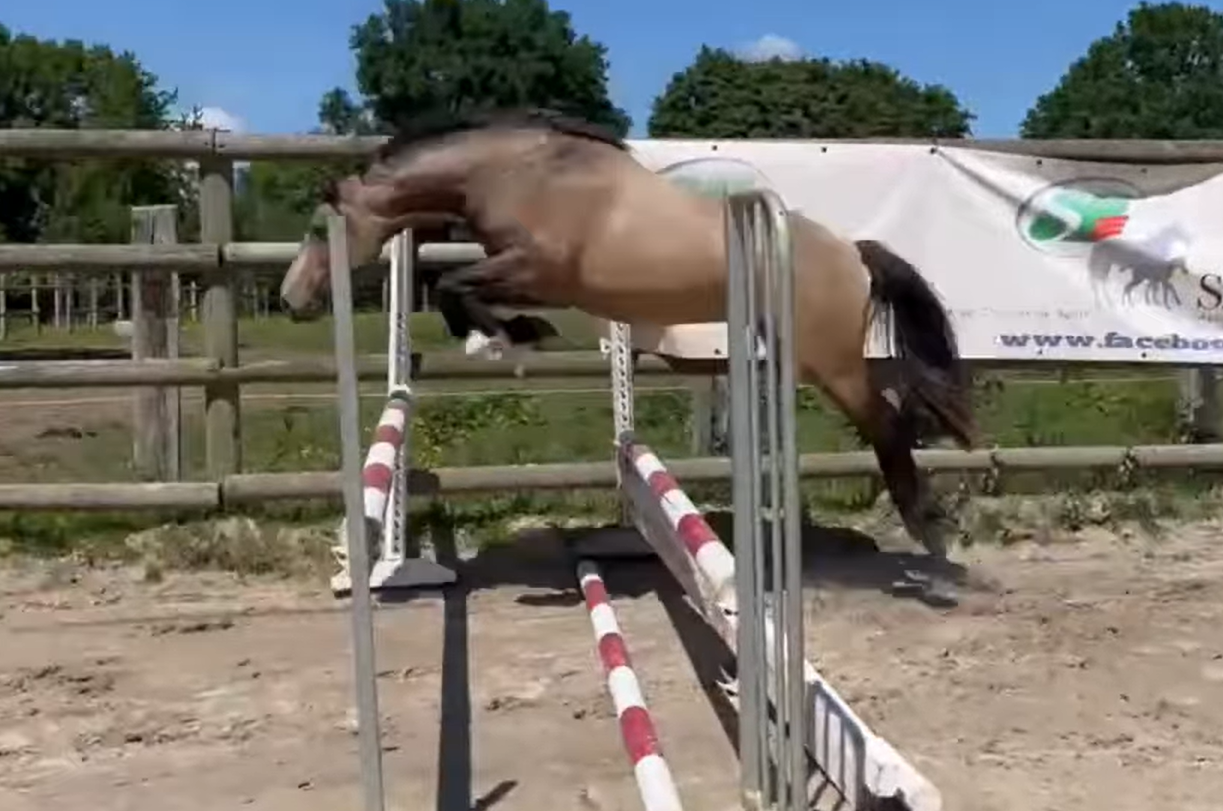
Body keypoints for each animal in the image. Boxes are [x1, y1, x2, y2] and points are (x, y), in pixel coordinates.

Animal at [279, 108, 977, 565]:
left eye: (317, 229)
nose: (291, 300)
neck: (519, 172)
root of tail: (852, 252)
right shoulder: (535, 278)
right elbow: (463, 290)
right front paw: (517, 335)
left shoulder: (537, 268)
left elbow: (456, 286)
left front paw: (503, 340)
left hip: (828, 363)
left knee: (888, 424)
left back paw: (928, 535)